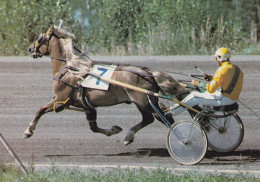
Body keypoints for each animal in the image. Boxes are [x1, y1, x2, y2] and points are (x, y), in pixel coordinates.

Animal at [23, 25, 184, 145]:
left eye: (40, 38)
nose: (30, 48)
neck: (70, 69)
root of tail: (148, 73)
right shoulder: (87, 106)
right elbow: (93, 127)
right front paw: (113, 130)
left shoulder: (60, 100)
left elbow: (40, 110)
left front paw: (28, 130)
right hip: (145, 102)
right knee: (154, 118)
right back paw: (129, 136)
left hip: (143, 101)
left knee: (160, 118)